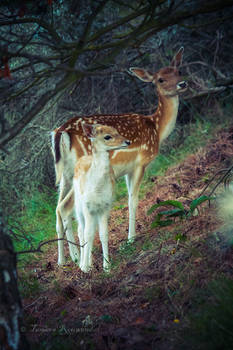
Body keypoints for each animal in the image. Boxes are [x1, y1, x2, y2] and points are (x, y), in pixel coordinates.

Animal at [51, 46, 187, 266]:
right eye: (160, 79)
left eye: (179, 71)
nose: (182, 84)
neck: (157, 129)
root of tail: (60, 132)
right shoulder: (140, 163)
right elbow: (133, 199)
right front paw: (131, 238)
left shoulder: (126, 170)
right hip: (81, 171)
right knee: (65, 208)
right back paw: (79, 258)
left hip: (65, 174)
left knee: (58, 209)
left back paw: (65, 259)